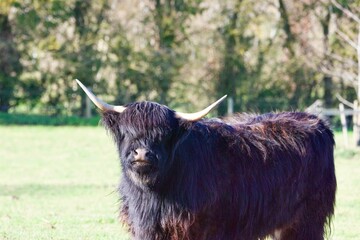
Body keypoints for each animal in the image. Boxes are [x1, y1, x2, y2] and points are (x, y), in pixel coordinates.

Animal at [76, 79, 338, 239]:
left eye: (164, 134)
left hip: (307, 219)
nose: (142, 153)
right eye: (127, 131)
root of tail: (317, 121)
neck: (154, 195)